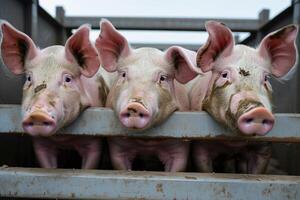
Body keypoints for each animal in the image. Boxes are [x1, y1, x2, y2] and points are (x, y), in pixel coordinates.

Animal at [0, 21, 108, 169]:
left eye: (68, 79)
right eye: (29, 78)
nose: (37, 114)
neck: (64, 139)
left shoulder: (94, 141)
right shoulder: (41, 145)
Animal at [95, 19, 200, 171]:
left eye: (162, 78)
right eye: (123, 74)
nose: (135, 105)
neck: (146, 142)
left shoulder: (179, 148)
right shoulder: (117, 147)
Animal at [190, 20, 298, 173]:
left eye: (266, 78)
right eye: (224, 75)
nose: (258, 110)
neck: (234, 144)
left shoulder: (264, 148)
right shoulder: (200, 146)